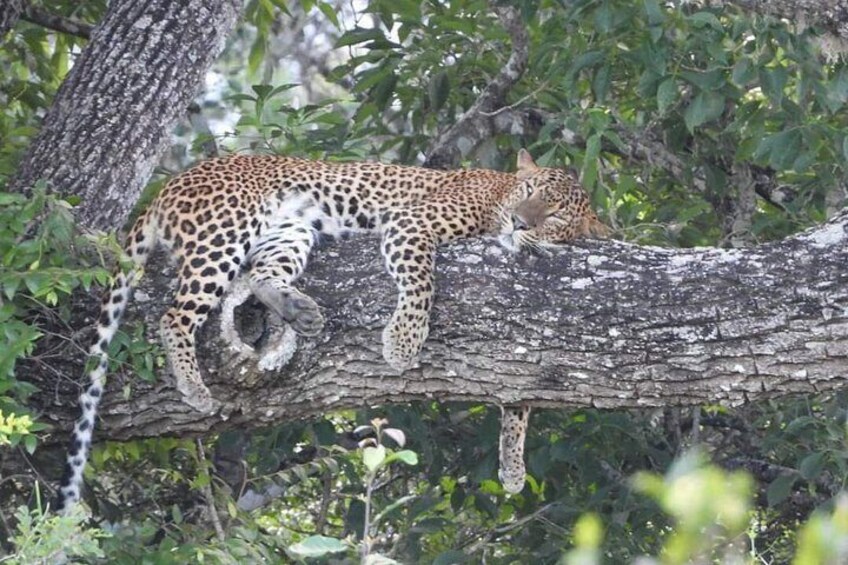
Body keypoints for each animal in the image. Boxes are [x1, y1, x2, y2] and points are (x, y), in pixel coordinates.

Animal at [55, 149, 606, 510]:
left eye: (554, 213)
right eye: (530, 192)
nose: (520, 223)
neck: (498, 194)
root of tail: (170, 184)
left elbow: (519, 398)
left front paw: (512, 467)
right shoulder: (412, 223)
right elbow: (422, 280)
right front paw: (403, 341)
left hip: (290, 231)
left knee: (261, 274)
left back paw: (298, 310)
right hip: (225, 232)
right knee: (175, 314)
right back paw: (193, 385)